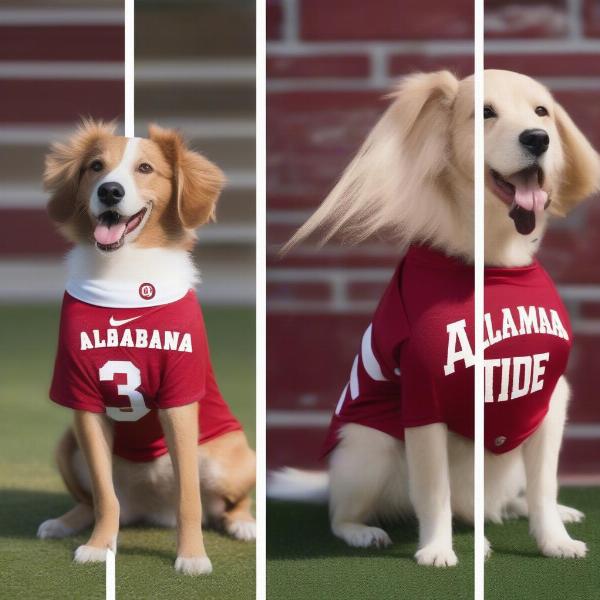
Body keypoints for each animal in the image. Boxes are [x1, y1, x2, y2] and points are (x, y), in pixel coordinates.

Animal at [35, 122, 255, 576]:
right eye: (95, 167)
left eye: (146, 168)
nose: (110, 191)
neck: (123, 275)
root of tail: (153, 509)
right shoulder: (83, 401)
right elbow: (105, 497)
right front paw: (99, 546)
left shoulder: (179, 400)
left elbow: (189, 498)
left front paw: (192, 556)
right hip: (66, 446)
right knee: (93, 501)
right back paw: (66, 522)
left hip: (233, 456)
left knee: (226, 502)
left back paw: (244, 523)